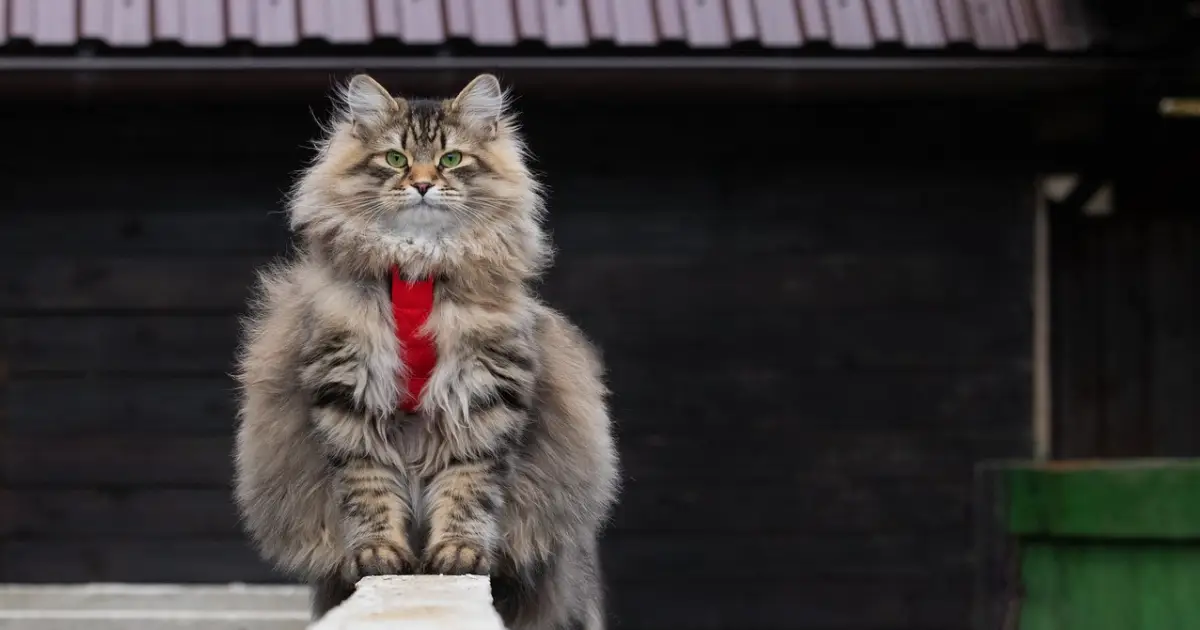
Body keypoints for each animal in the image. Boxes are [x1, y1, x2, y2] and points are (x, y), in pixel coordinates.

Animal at [229, 75, 619, 628]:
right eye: (395, 159)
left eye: (451, 159)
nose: (421, 183)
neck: (417, 270)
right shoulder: (347, 392)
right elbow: (370, 491)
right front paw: (381, 555)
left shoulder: (485, 394)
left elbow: (467, 490)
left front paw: (457, 554)